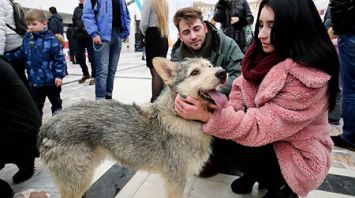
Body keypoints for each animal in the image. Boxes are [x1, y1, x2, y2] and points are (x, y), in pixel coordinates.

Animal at [39, 57, 228, 198]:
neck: (181, 118)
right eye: (195, 72)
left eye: (210, 66)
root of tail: (47, 125)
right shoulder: (176, 180)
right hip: (78, 183)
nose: (222, 73)